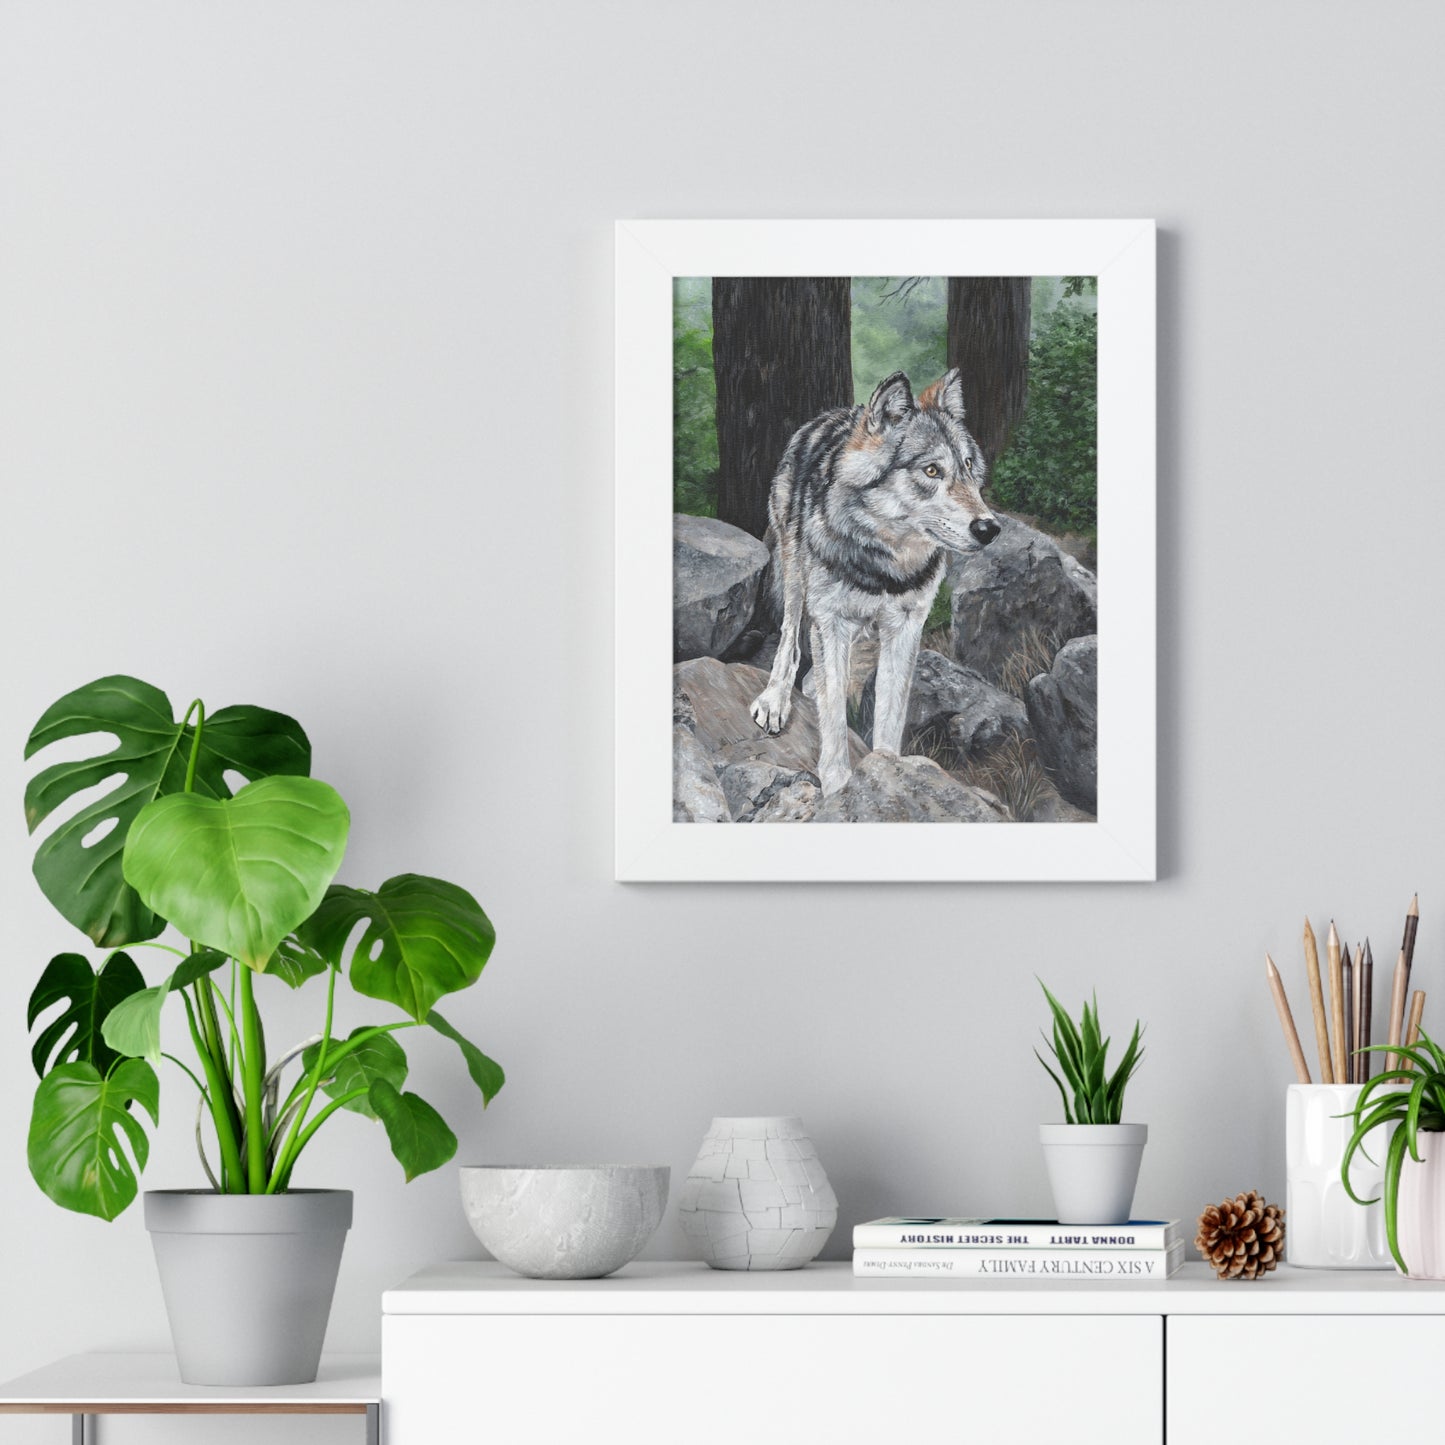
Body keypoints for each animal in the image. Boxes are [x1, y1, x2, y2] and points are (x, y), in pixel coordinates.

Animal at [749, 369, 1002, 796]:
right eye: (931, 471)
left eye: (968, 465)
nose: (990, 528)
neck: (885, 566)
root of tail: (833, 414)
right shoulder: (830, 620)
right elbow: (834, 716)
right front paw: (838, 787)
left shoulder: (906, 627)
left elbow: (889, 714)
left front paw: (889, 774)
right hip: (795, 573)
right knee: (789, 638)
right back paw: (776, 698)